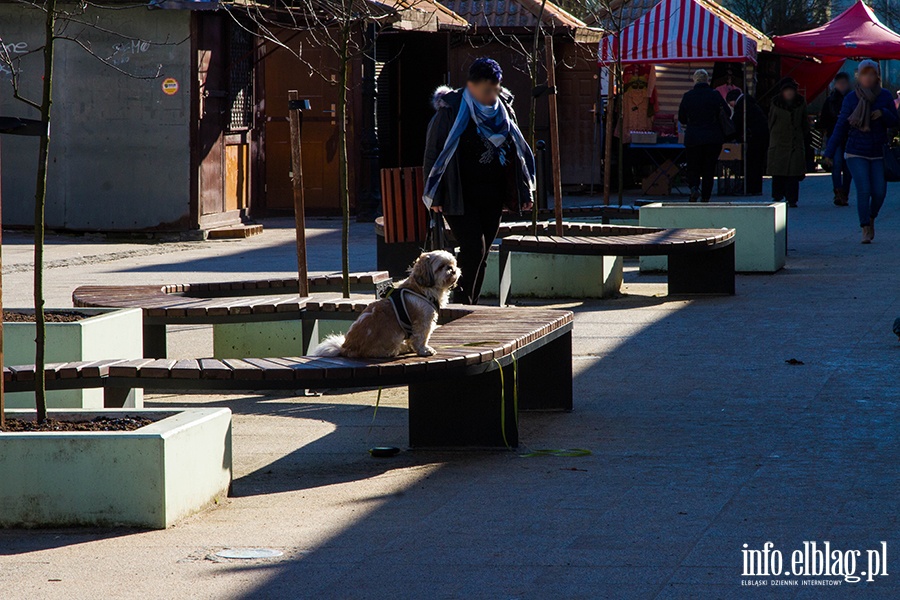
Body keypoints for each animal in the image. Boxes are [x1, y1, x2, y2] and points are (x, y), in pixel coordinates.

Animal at [312, 251, 464, 358]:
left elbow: (412, 340)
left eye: (453, 263)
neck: (421, 289)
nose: (452, 269)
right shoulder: (423, 321)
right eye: (441, 267)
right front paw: (424, 350)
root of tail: (345, 347)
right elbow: (421, 338)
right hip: (393, 337)